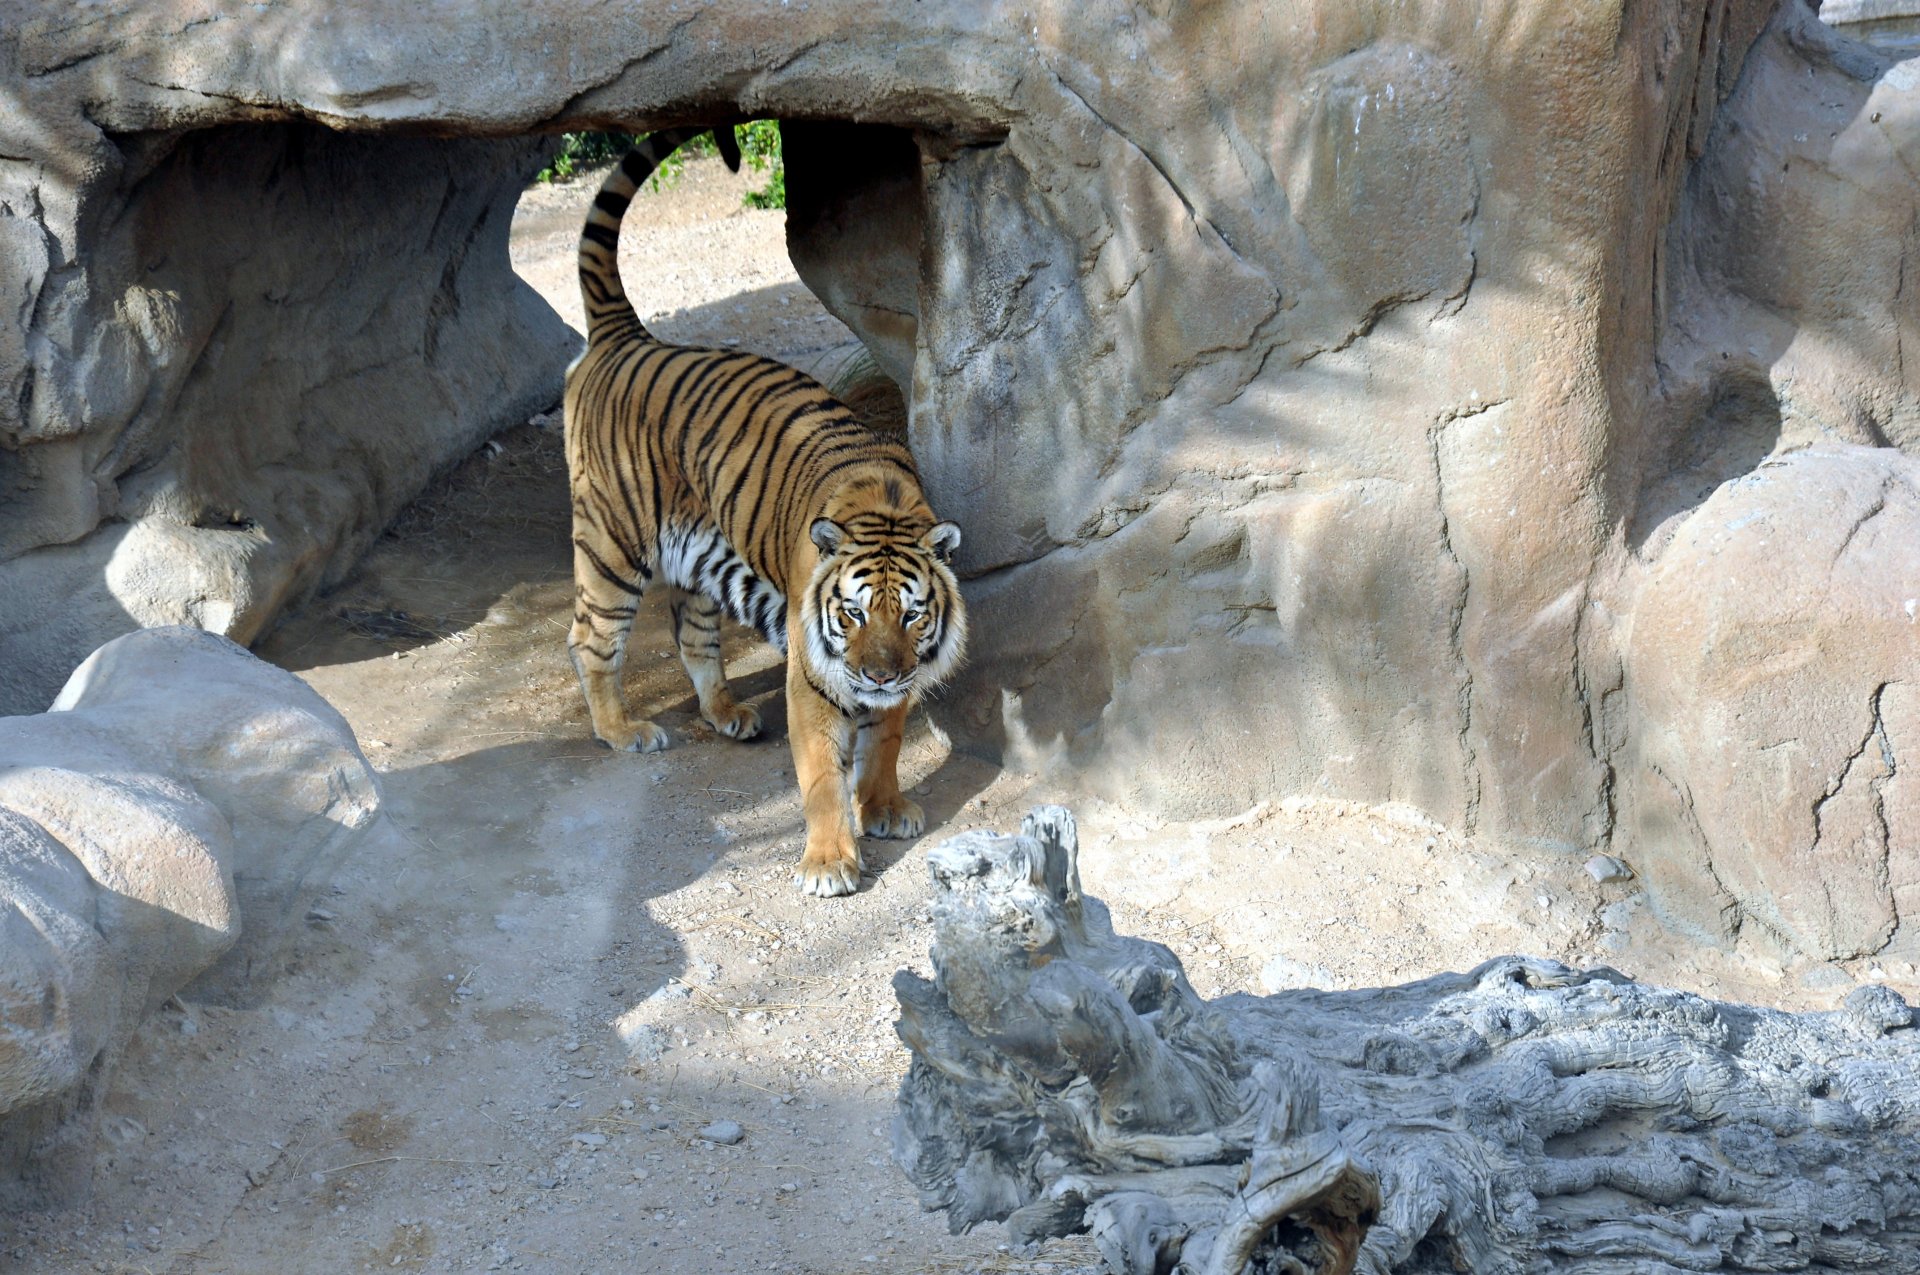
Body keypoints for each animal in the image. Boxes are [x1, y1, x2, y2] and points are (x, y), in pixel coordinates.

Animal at [560, 126, 967, 894]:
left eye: (912, 614)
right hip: (611, 543)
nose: (878, 674)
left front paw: (886, 806)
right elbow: (822, 773)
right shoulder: (813, 676)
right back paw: (623, 731)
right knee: (591, 639)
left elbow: (887, 741)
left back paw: (726, 714)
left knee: (693, 635)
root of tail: (627, 335)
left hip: (697, 554)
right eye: (852, 613)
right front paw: (830, 860)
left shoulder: (898, 678)